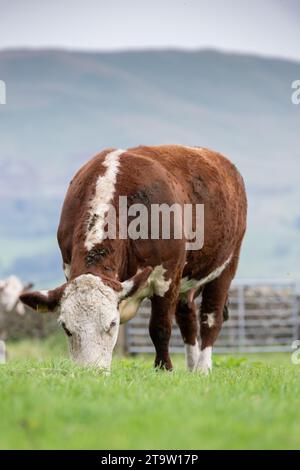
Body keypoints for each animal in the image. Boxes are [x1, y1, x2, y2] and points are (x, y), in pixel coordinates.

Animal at [19, 145, 247, 372]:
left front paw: (164, 368)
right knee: (187, 318)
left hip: (226, 265)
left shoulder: (167, 275)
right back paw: (191, 368)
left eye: (112, 324)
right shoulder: (68, 268)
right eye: (66, 327)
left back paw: (202, 368)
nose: (91, 372)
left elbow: (160, 328)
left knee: (211, 318)